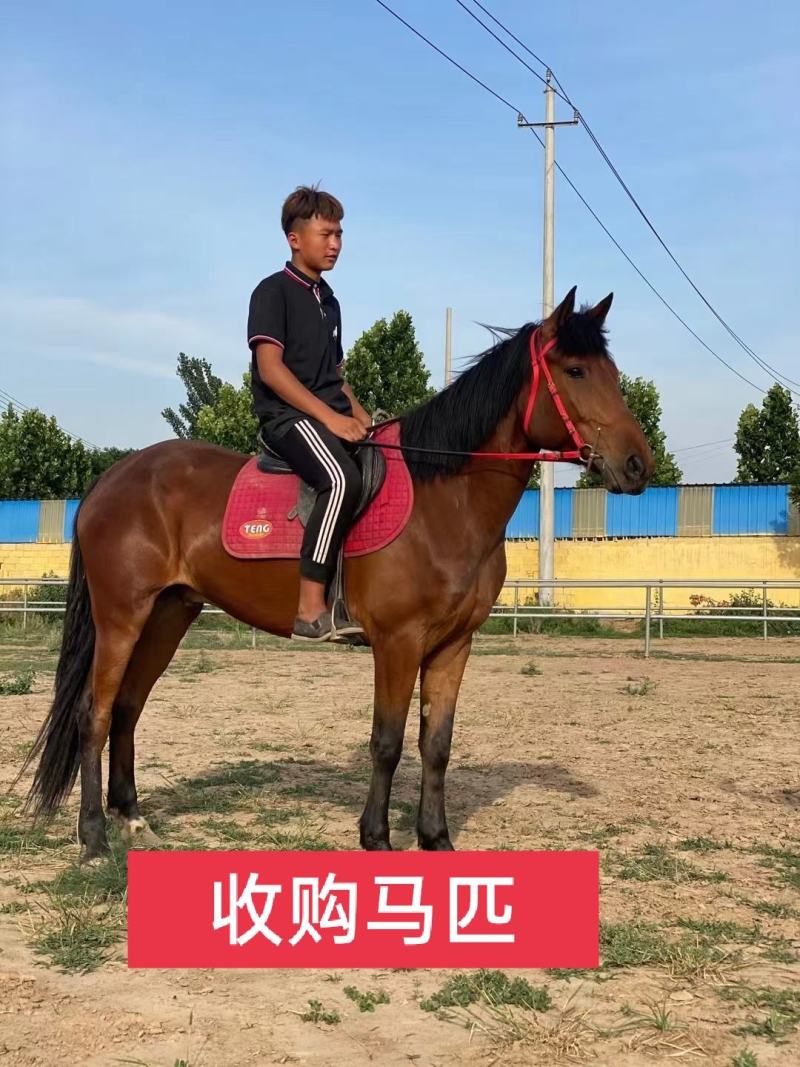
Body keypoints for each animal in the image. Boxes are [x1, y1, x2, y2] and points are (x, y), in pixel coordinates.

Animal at [23, 287, 653, 862]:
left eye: (612, 371)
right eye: (575, 370)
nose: (637, 465)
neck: (444, 497)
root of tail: (110, 479)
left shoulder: (454, 645)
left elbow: (437, 744)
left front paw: (436, 838)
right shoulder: (398, 643)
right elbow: (388, 743)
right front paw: (376, 838)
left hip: (169, 613)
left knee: (128, 707)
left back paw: (131, 818)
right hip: (122, 616)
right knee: (94, 712)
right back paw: (94, 839)